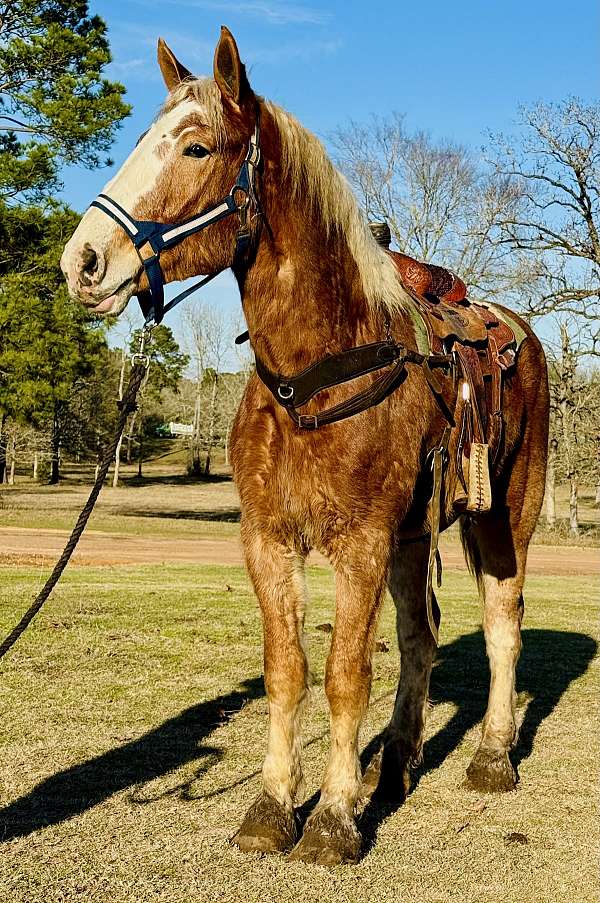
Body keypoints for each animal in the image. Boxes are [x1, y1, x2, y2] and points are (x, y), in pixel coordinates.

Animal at [61, 24, 548, 864]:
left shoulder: (359, 542)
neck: (312, 375)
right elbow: (287, 669)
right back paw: (396, 762)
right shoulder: (269, 539)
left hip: (503, 517)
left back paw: (490, 755)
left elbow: (345, 674)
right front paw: (273, 804)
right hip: (414, 537)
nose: (83, 261)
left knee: (501, 625)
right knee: (421, 635)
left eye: (196, 147)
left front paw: (333, 818)